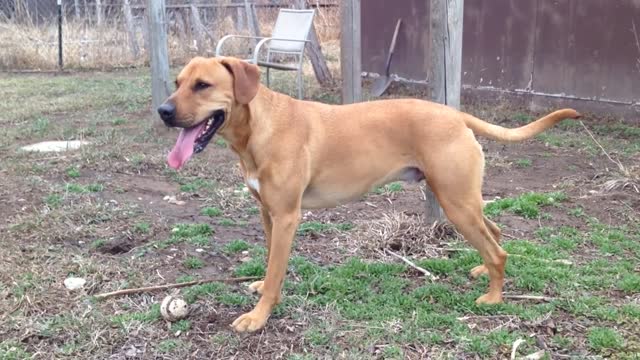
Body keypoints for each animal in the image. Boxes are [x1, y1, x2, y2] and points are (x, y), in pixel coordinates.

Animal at [156, 56, 580, 332]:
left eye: (203, 85)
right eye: (177, 83)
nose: (162, 111)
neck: (259, 127)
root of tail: (455, 115)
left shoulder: (287, 217)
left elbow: (277, 272)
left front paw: (259, 317)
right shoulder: (267, 214)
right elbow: (269, 261)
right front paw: (261, 287)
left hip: (456, 203)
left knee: (498, 249)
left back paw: (493, 297)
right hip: (463, 201)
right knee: (495, 233)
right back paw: (481, 271)